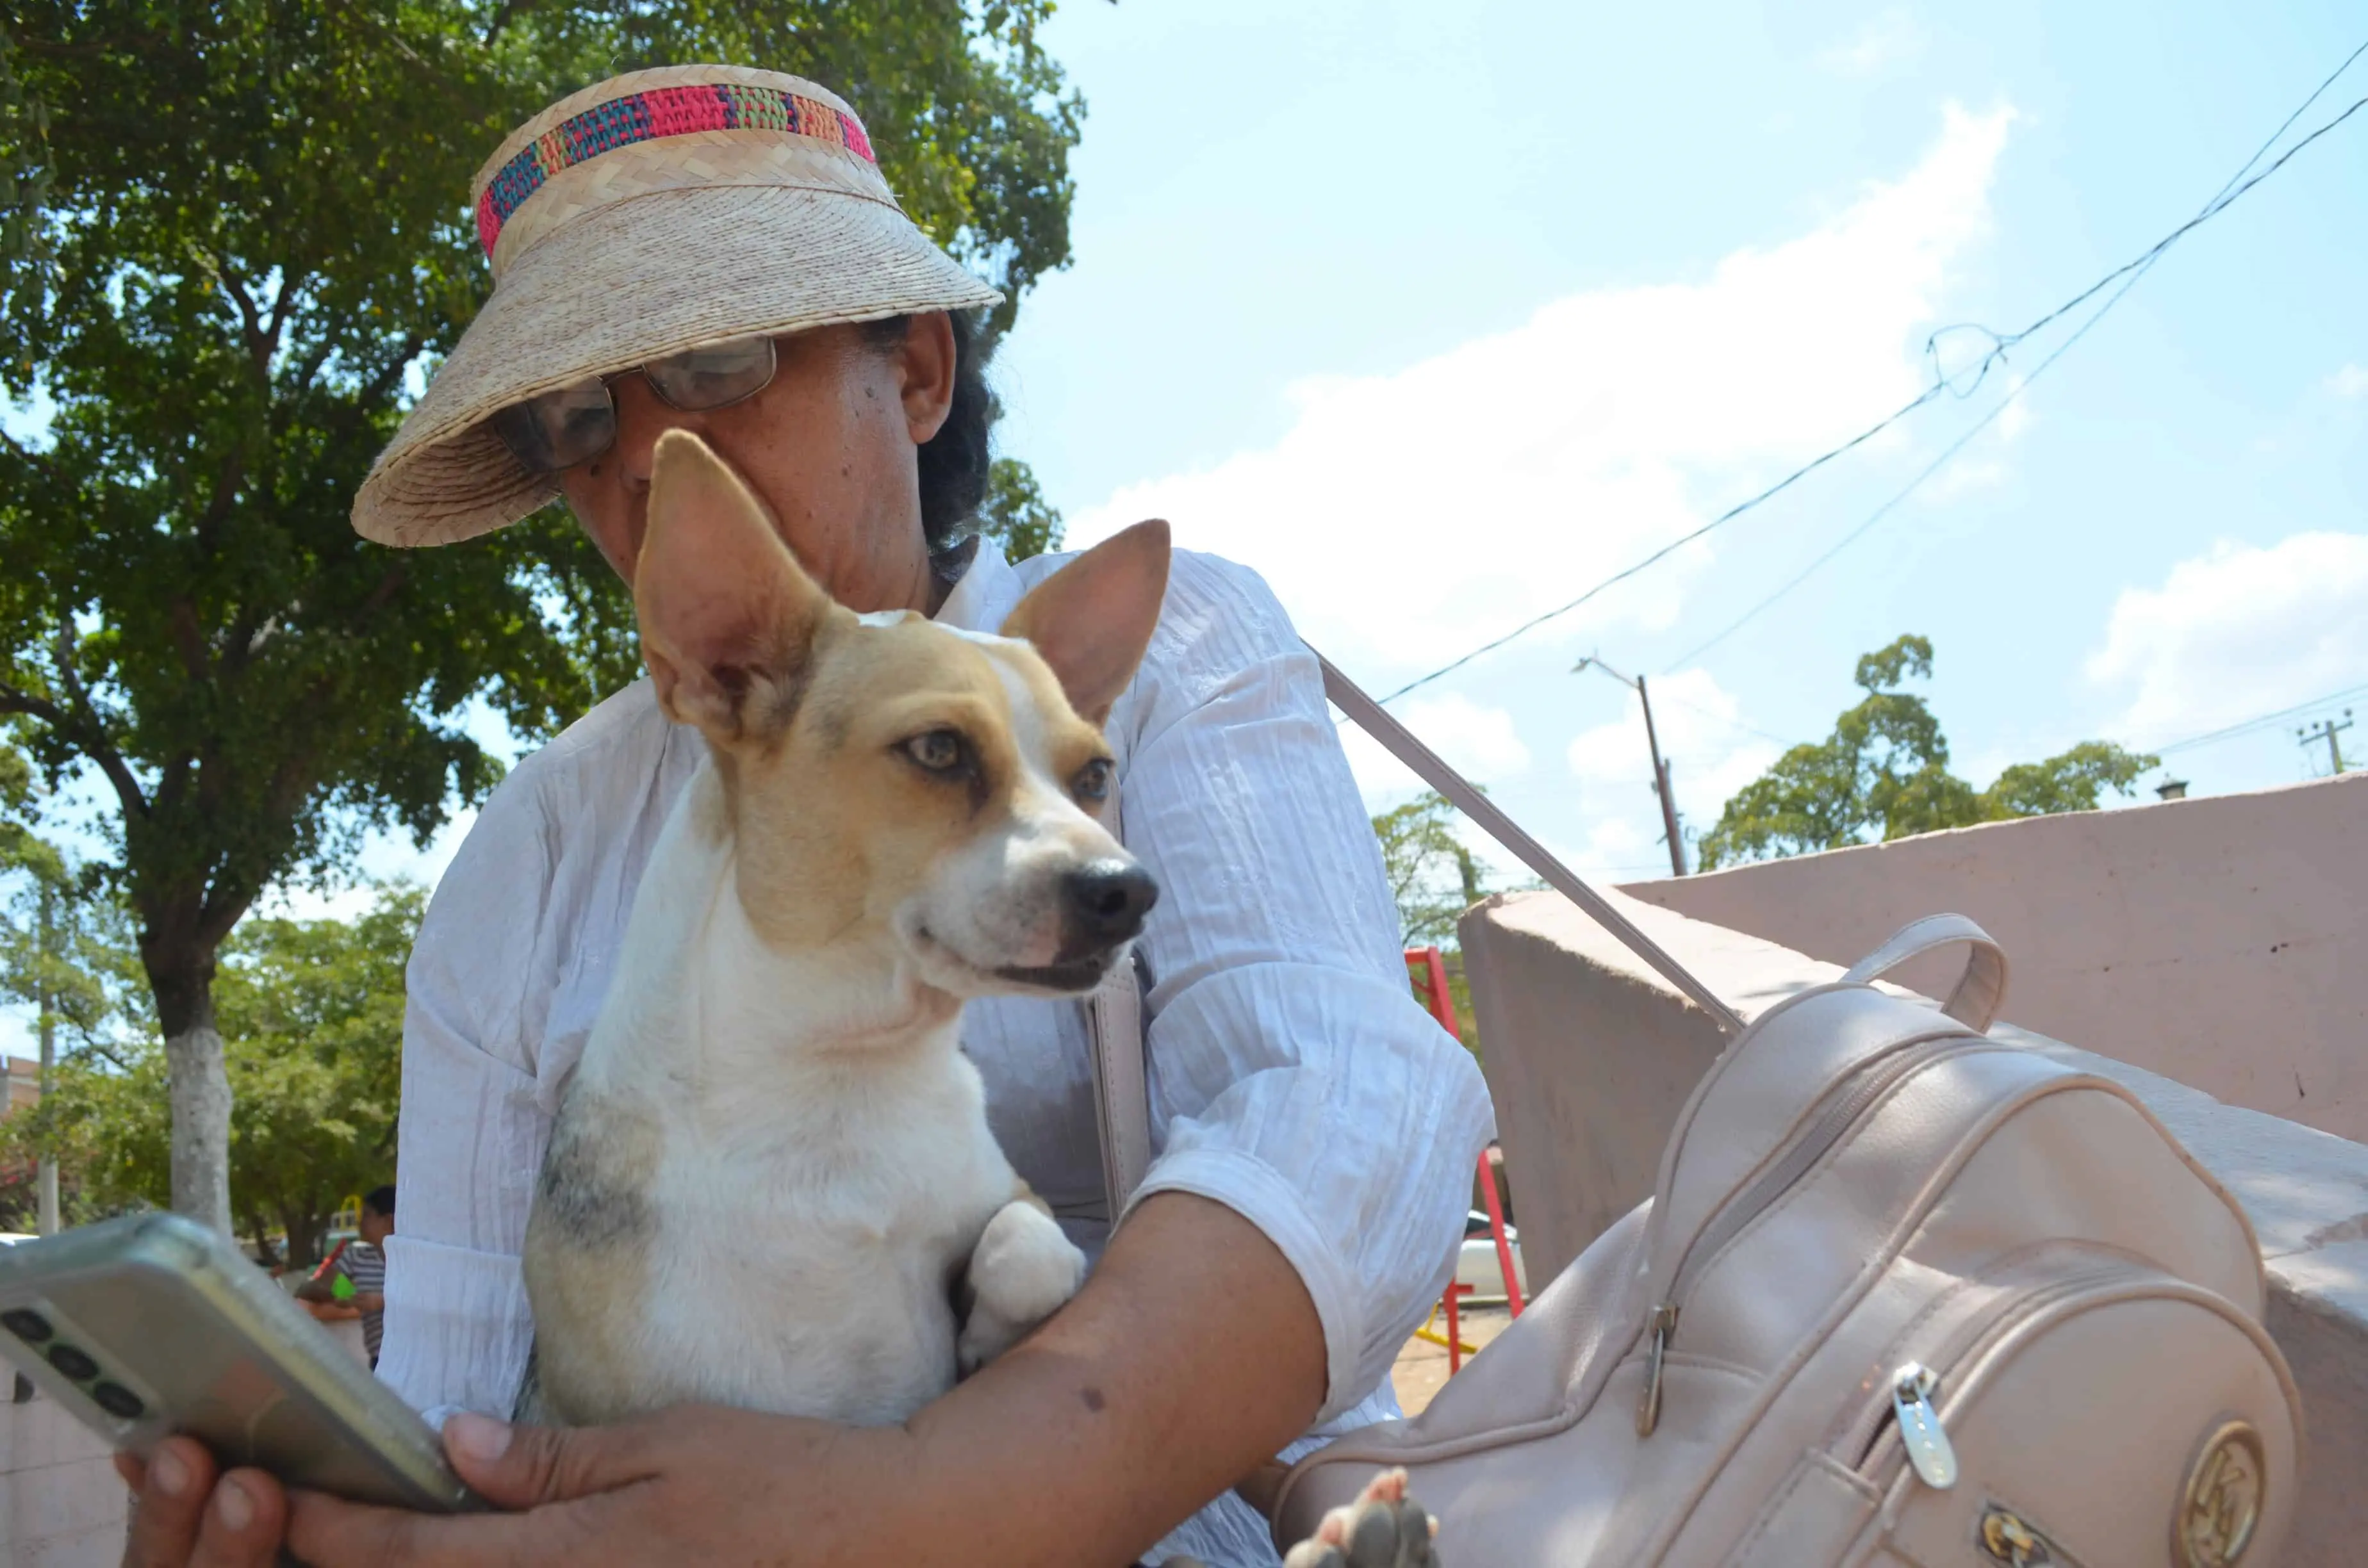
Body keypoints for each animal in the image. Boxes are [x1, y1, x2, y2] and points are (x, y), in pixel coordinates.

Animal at [528, 433, 1174, 1440]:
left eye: (1096, 776)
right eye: (940, 750)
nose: (1128, 891)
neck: (845, 1076)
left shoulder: (1014, 1201)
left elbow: (1033, 1253)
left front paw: (983, 1334)